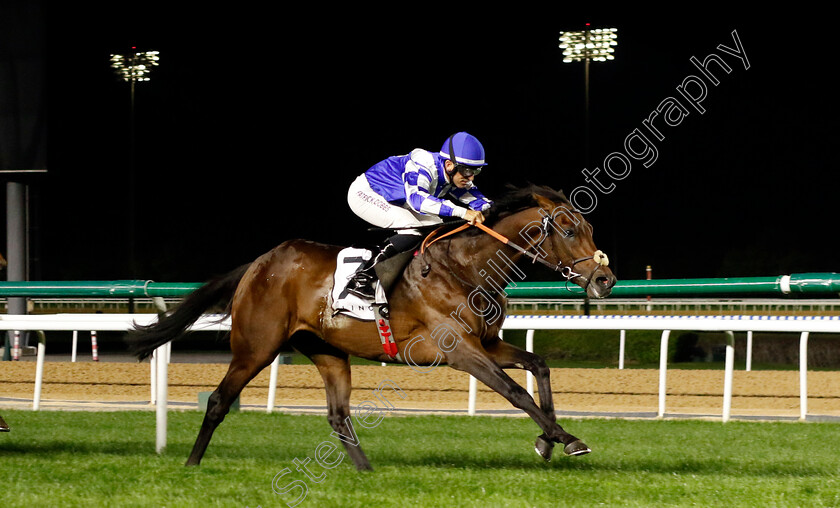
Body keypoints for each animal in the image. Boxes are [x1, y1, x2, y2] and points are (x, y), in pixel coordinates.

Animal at [130, 184, 616, 468]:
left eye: (589, 227)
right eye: (569, 231)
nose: (604, 279)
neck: (464, 268)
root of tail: (259, 264)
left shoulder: (487, 343)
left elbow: (539, 365)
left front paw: (549, 440)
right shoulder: (459, 350)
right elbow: (515, 392)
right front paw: (566, 437)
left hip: (327, 352)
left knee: (338, 415)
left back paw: (365, 472)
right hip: (256, 347)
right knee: (218, 400)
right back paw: (191, 465)